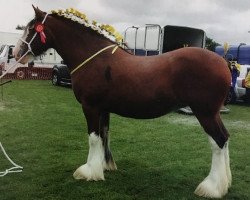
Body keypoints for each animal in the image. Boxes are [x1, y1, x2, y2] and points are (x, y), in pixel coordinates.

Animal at [13, 6, 232, 198]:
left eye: (31, 28)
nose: (16, 53)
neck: (94, 58)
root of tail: (223, 62)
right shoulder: (103, 109)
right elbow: (104, 135)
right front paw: (103, 166)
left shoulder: (90, 107)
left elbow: (93, 138)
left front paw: (88, 172)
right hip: (212, 114)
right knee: (225, 138)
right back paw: (225, 184)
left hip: (205, 113)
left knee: (218, 141)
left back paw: (211, 187)